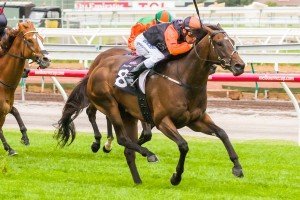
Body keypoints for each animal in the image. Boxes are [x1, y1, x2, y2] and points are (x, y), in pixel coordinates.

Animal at [0, 20, 49, 155]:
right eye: (30, 40)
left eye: (41, 38)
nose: (46, 59)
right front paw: (9, 148)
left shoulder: (6, 108)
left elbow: (15, 111)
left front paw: (24, 137)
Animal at [56, 24, 246, 185]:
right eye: (219, 43)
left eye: (232, 42)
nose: (240, 65)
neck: (183, 79)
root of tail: (97, 67)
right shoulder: (163, 121)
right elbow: (183, 145)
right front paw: (176, 177)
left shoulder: (196, 120)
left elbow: (222, 133)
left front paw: (237, 167)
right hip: (109, 105)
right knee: (119, 136)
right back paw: (146, 153)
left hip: (128, 115)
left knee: (127, 148)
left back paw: (138, 180)